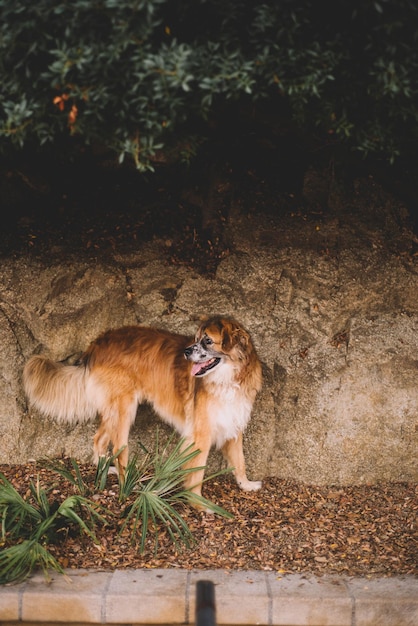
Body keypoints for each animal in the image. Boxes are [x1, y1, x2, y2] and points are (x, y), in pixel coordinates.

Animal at [22, 316, 262, 498]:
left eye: (208, 341)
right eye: (196, 339)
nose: (186, 352)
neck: (229, 379)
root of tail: (97, 343)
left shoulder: (233, 423)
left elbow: (240, 461)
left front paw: (246, 484)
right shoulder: (200, 432)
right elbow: (197, 470)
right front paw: (198, 501)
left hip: (113, 408)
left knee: (99, 439)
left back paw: (103, 471)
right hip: (124, 408)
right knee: (119, 449)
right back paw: (126, 482)